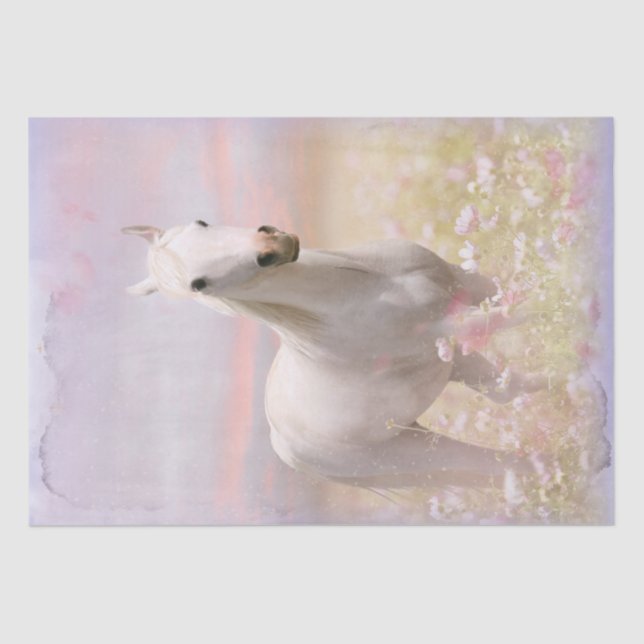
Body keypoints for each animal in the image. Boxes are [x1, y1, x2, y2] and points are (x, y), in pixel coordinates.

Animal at [123, 220, 545, 490]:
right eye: (199, 285)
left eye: (202, 222)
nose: (272, 248)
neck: (368, 287)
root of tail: (284, 446)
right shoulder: (454, 327)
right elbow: (522, 309)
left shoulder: (464, 282)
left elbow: (514, 287)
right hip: (409, 448)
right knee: (502, 462)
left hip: (449, 365)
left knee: (506, 391)